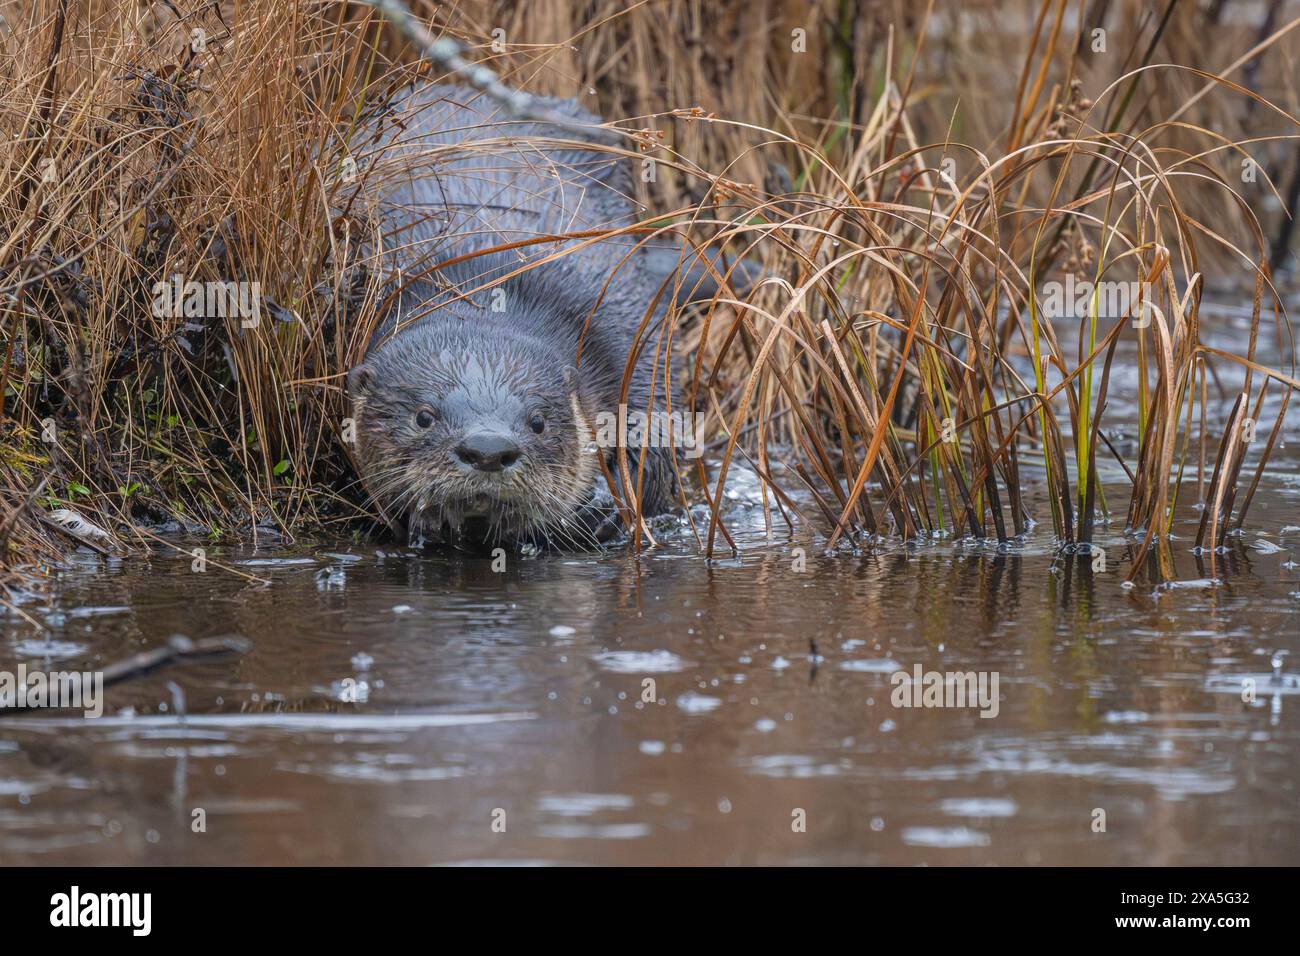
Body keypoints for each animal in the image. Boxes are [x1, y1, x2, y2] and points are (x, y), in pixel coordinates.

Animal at [345, 83, 729, 549]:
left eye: (538, 421)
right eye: (423, 417)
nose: (488, 450)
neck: (486, 281)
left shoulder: (624, 333)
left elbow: (656, 433)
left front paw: (605, 505)